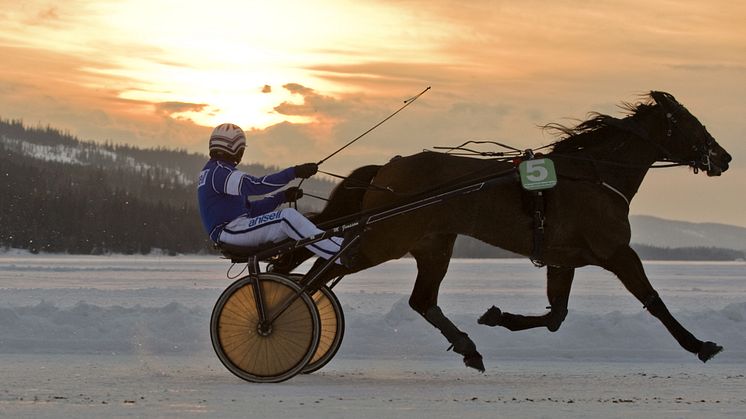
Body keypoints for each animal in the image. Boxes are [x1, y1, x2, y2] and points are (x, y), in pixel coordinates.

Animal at [272, 91, 728, 370]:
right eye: (691, 122)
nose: (724, 157)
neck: (596, 175)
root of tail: (388, 165)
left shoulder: (562, 259)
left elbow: (556, 317)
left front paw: (496, 317)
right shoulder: (617, 251)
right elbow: (654, 301)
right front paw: (700, 345)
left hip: (432, 244)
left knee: (420, 300)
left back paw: (468, 347)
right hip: (385, 239)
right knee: (322, 273)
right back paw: (274, 319)